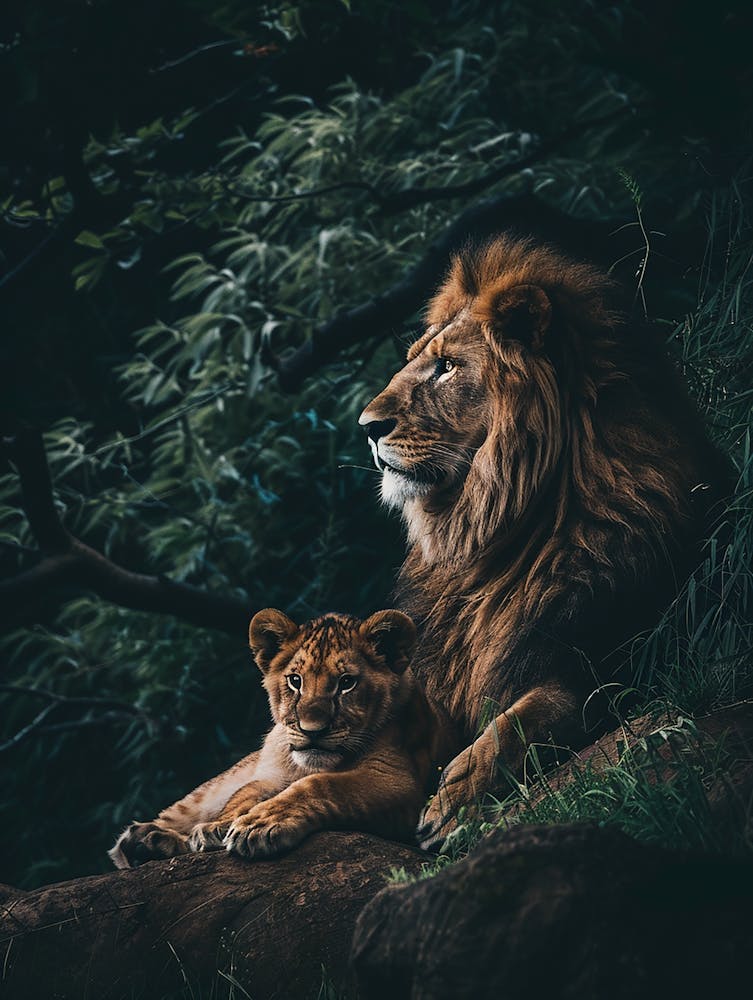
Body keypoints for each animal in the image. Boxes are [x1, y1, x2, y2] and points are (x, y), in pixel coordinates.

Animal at [110, 607, 451, 867]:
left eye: (346, 683)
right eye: (295, 681)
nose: (312, 731)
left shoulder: (401, 783)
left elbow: (320, 784)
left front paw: (259, 825)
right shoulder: (270, 776)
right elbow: (243, 797)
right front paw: (219, 827)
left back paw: (152, 844)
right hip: (210, 789)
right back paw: (143, 839)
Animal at [358, 234, 730, 849]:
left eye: (447, 367)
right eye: (415, 359)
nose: (366, 426)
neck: (486, 539)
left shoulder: (618, 657)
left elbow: (524, 719)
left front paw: (455, 800)